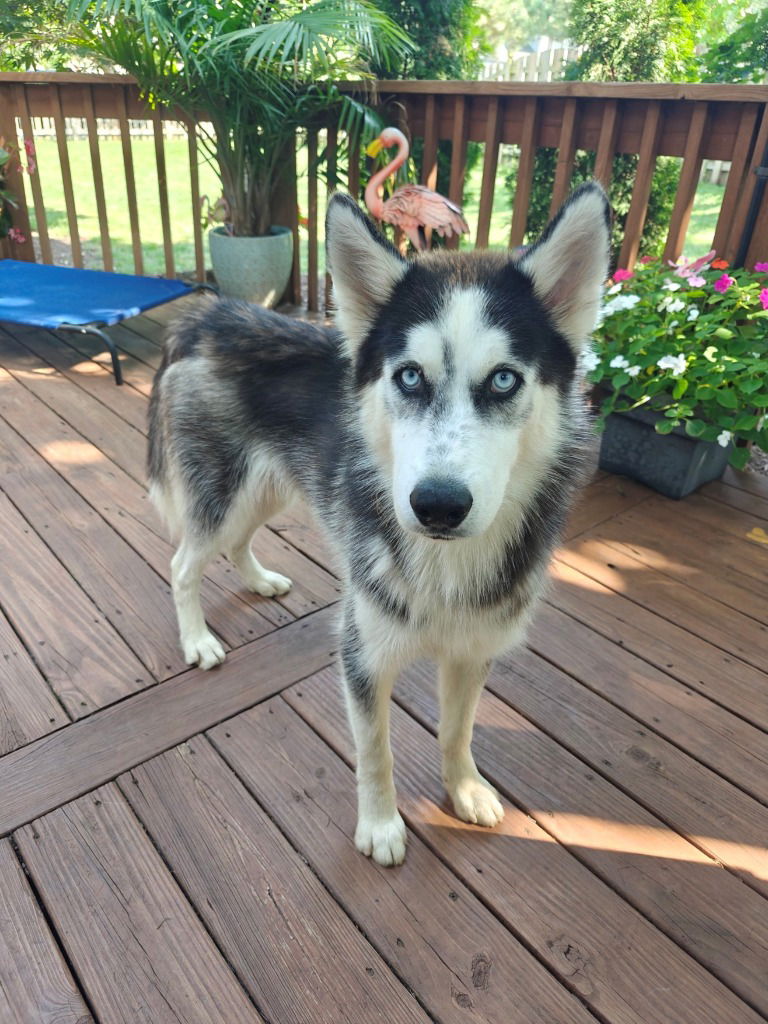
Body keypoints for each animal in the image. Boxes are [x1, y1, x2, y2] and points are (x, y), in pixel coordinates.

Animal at [147, 184, 610, 864]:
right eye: (409, 375)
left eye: (504, 379)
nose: (438, 505)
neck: (447, 565)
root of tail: (209, 316)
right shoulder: (362, 651)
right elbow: (375, 751)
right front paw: (381, 825)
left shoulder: (473, 650)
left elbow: (457, 730)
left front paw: (463, 789)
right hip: (222, 493)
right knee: (183, 564)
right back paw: (197, 640)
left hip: (267, 489)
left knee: (236, 544)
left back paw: (259, 581)